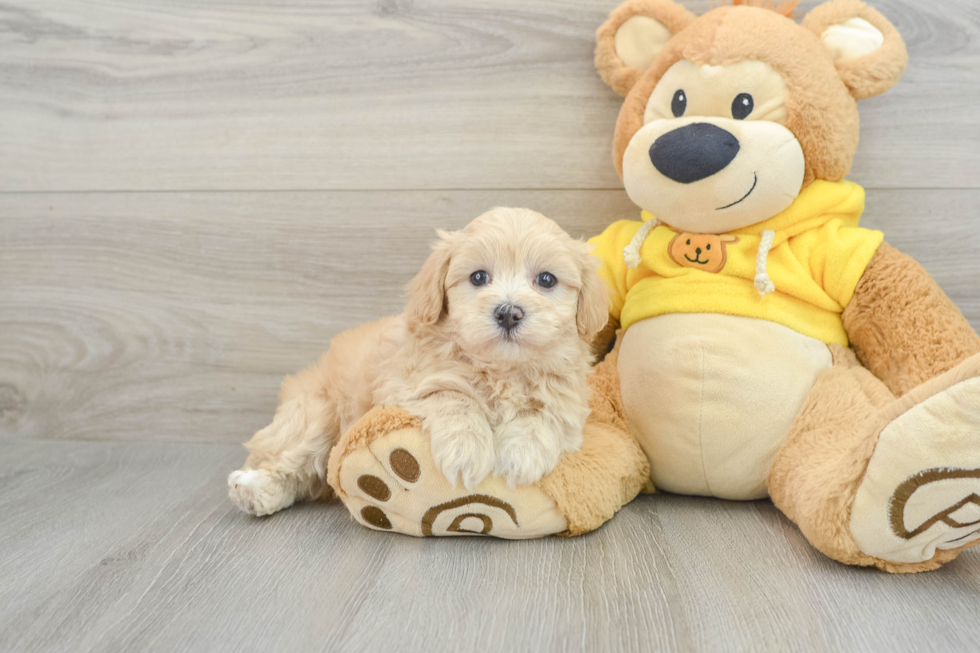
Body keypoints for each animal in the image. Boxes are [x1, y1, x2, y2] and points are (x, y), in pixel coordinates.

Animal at [231, 209, 612, 516]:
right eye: (478, 277)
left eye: (546, 279)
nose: (508, 312)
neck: (500, 370)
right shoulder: (406, 384)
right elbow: (452, 396)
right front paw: (466, 450)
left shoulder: (567, 399)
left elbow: (542, 415)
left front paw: (522, 456)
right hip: (315, 415)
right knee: (286, 458)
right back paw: (253, 489)